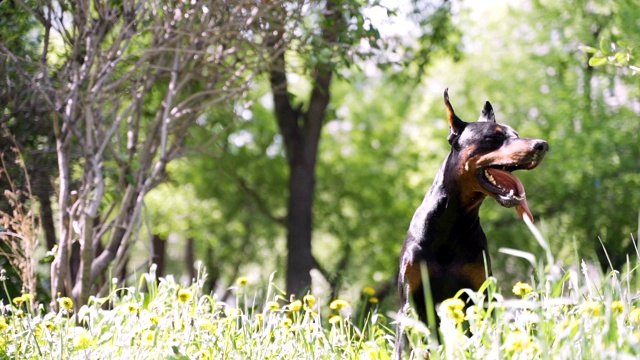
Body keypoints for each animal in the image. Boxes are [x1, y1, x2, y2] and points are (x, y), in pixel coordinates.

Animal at [396, 89, 552, 358]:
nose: (542, 145)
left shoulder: (480, 295)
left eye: (516, 135)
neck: (452, 222)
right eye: (493, 137)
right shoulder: (412, 301)